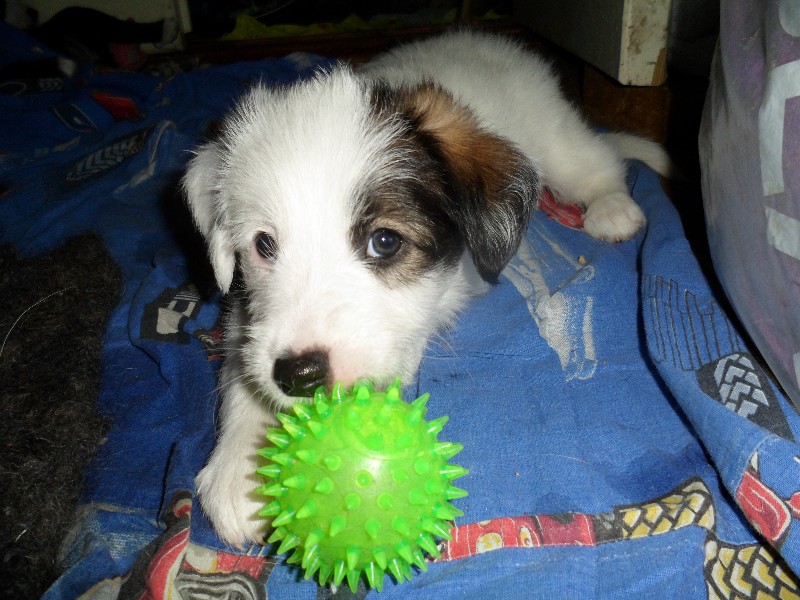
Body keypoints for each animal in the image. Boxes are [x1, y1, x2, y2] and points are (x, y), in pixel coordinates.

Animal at [181, 28, 668, 548]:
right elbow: (243, 360)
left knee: (596, 163)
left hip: (556, 139)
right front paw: (242, 469)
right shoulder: (247, 312)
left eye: (385, 241)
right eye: (264, 244)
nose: (300, 376)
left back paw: (613, 208)